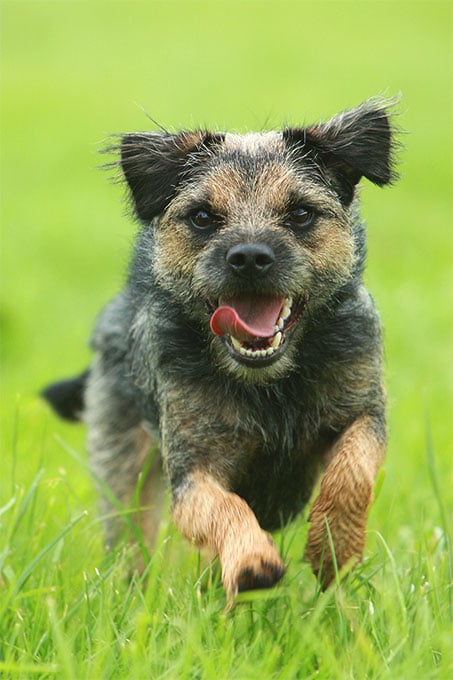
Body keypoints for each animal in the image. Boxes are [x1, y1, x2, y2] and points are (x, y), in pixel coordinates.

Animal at [42, 98, 396, 596]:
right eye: (203, 217)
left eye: (301, 213)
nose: (249, 256)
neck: (269, 386)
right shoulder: (193, 469)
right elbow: (219, 506)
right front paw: (250, 561)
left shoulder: (362, 411)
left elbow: (353, 470)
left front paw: (334, 549)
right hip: (121, 459)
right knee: (130, 537)